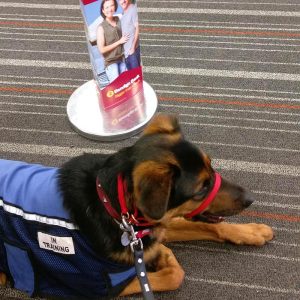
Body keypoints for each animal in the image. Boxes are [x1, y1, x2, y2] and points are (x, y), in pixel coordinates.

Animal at [0, 114, 274, 298]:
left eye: (212, 167)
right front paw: (164, 259)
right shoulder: (103, 286)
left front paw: (250, 231)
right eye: (201, 189)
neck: (116, 209)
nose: (251, 198)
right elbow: (174, 274)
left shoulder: (155, 226)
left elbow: (206, 228)